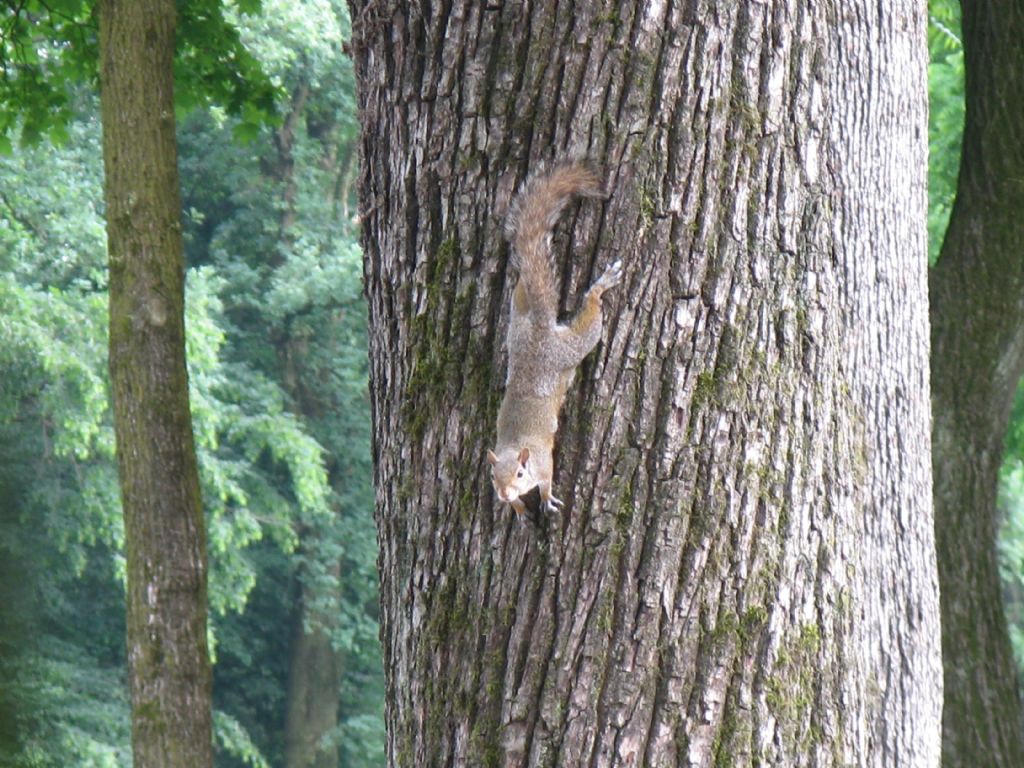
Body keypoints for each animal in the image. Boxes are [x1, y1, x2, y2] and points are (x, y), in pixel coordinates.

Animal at [487, 164, 622, 520]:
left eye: (520, 473)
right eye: (492, 477)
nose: (503, 494)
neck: (517, 448)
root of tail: (539, 328)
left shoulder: (543, 461)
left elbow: (547, 480)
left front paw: (545, 498)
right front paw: (518, 507)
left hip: (571, 347)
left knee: (590, 318)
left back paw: (600, 287)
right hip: (517, 325)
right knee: (525, 282)